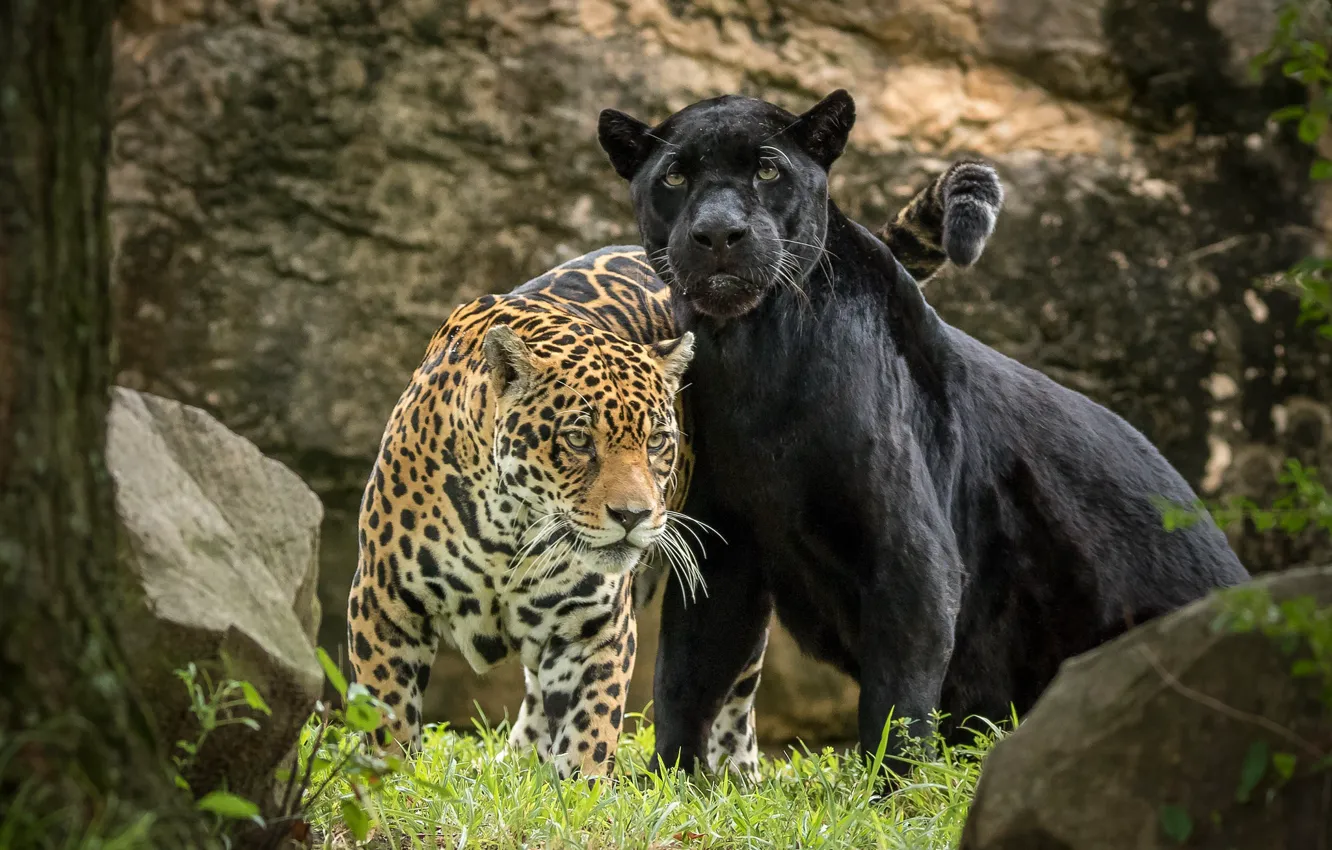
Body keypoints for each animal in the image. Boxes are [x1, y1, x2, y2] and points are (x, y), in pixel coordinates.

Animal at [345, 159, 1003, 780]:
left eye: (659, 442)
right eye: (577, 439)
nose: (633, 516)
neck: (509, 532)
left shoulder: (596, 629)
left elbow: (590, 730)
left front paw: (582, 795)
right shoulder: (382, 602)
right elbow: (387, 718)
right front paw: (390, 787)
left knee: (736, 689)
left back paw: (737, 772)